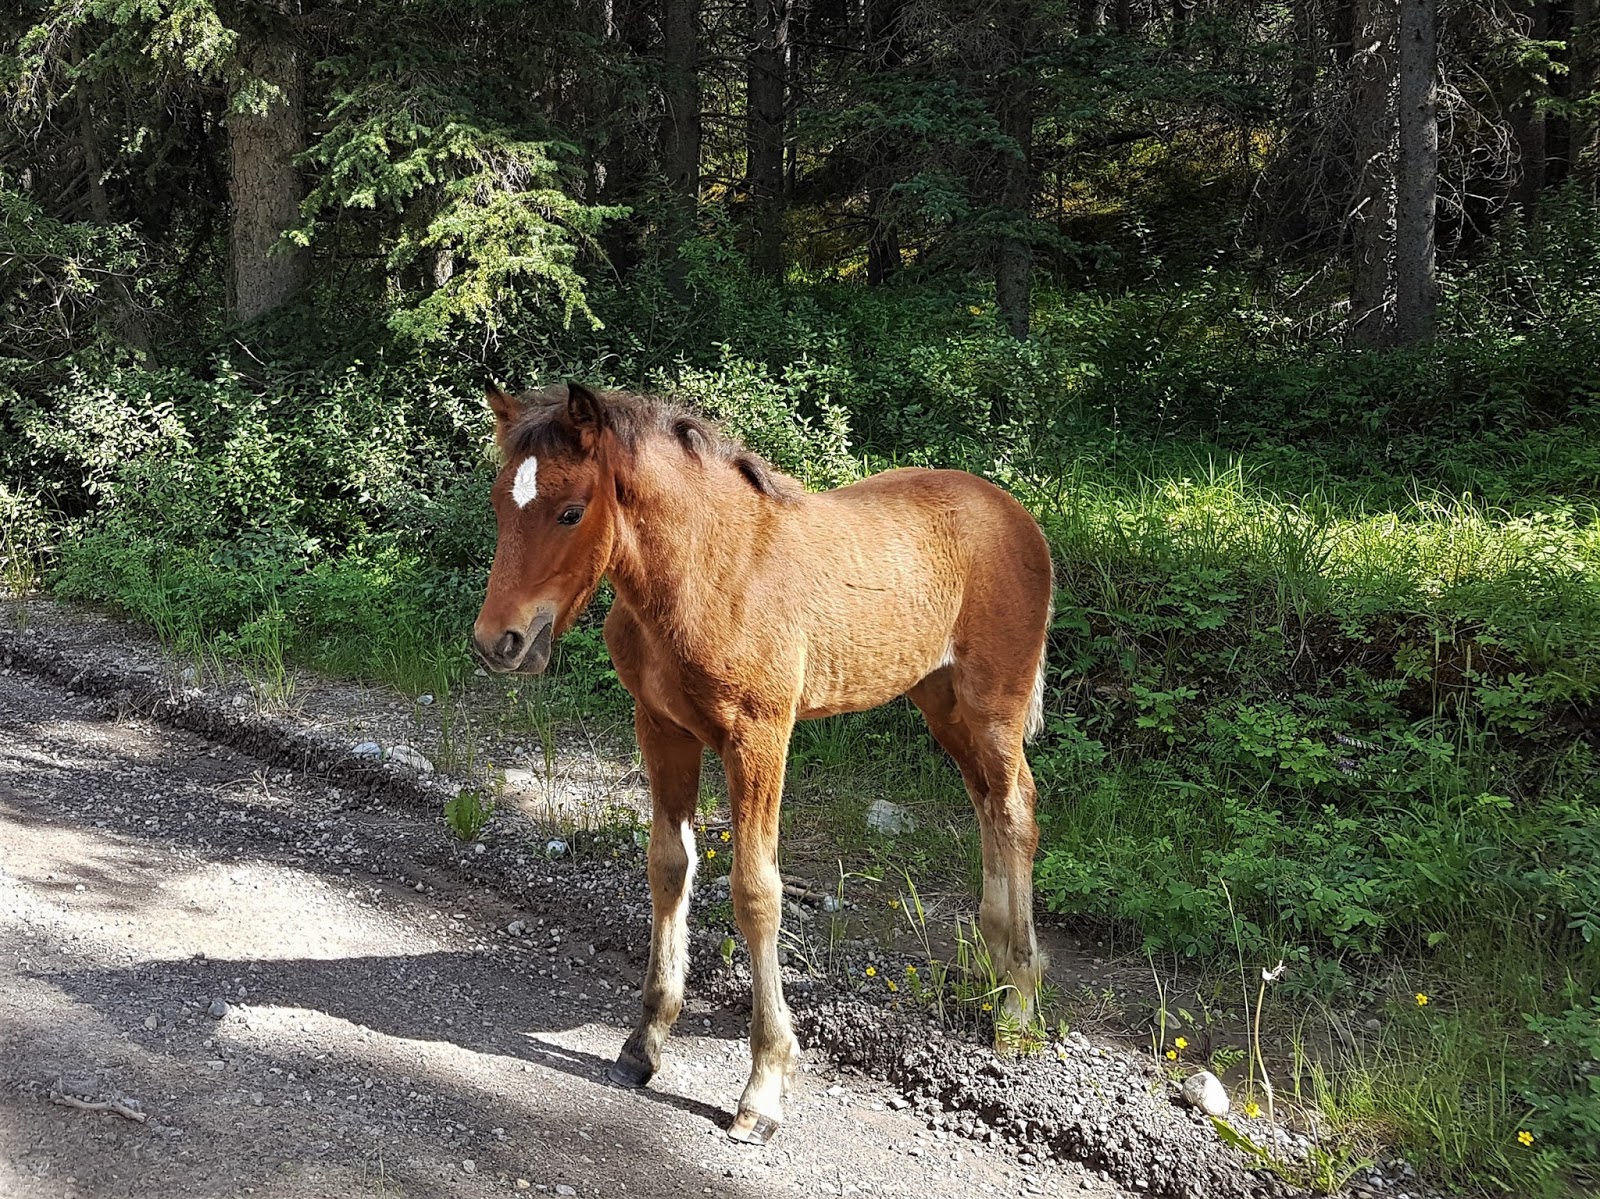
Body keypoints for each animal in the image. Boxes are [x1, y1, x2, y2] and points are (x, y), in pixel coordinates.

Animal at [471, 382, 1053, 1145]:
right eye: (498, 503)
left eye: (571, 510)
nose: (497, 642)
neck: (709, 575)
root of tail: (1019, 515)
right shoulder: (661, 728)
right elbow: (669, 867)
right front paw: (642, 1045)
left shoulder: (760, 736)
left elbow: (756, 892)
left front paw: (764, 1086)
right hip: (941, 702)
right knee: (988, 802)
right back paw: (995, 968)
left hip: (993, 707)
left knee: (1016, 808)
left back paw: (1016, 1006)